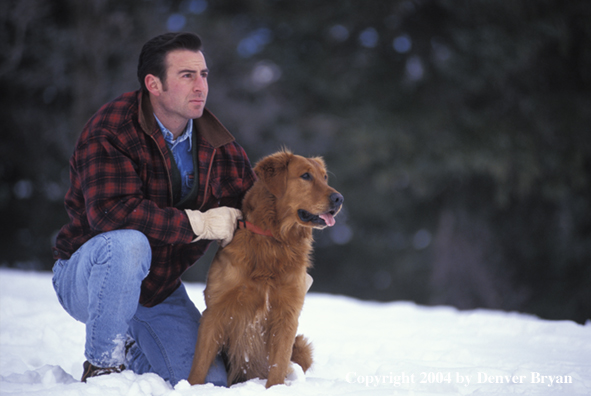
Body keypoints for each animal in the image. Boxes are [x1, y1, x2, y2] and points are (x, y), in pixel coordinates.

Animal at [190, 148, 344, 386]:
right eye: (306, 176)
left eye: (325, 177)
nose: (339, 198)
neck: (274, 240)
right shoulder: (215, 311)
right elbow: (198, 366)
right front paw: (188, 388)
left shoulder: (287, 313)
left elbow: (278, 364)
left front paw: (274, 388)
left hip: (302, 346)